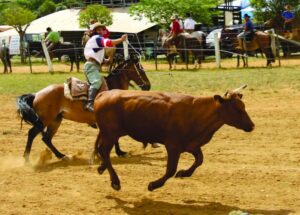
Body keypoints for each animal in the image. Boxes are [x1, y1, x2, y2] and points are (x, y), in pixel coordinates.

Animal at [16, 53, 150, 163]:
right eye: (141, 69)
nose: (148, 86)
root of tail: (36, 94)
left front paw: (117, 152)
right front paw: (119, 152)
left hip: (56, 120)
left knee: (46, 138)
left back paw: (62, 156)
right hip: (45, 119)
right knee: (32, 133)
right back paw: (27, 159)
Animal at [93, 85, 253, 191]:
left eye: (244, 106)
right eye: (236, 109)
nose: (251, 125)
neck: (196, 113)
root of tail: (104, 94)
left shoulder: (192, 145)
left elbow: (199, 160)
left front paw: (184, 173)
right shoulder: (173, 146)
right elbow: (170, 169)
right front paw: (154, 184)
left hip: (112, 133)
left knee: (102, 151)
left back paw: (102, 168)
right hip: (110, 133)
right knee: (104, 151)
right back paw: (115, 181)